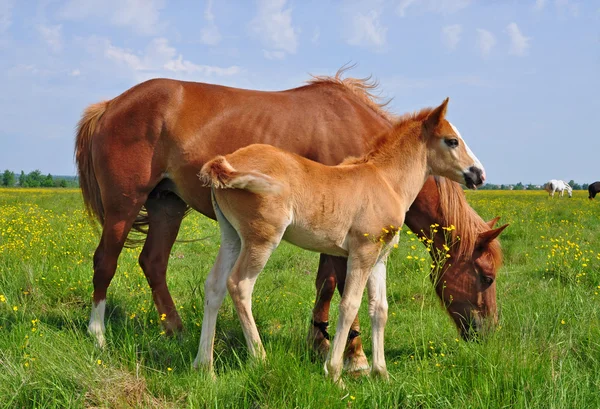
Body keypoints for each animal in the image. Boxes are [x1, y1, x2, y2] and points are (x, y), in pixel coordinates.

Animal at [195, 99, 486, 382]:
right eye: (452, 140)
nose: (479, 174)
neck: (386, 181)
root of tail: (228, 161)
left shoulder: (380, 258)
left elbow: (380, 309)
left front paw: (382, 374)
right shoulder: (362, 252)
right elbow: (349, 305)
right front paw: (335, 372)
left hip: (232, 237)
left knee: (215, 285)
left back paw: (205, 368)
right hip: (261, 239)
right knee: (239, 285)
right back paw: (260, 359)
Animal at [308, 175, 508, 370]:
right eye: (488, 278)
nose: (490, 331)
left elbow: (326, 283)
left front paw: (318, 345)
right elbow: (344, 290)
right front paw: (355, 357)